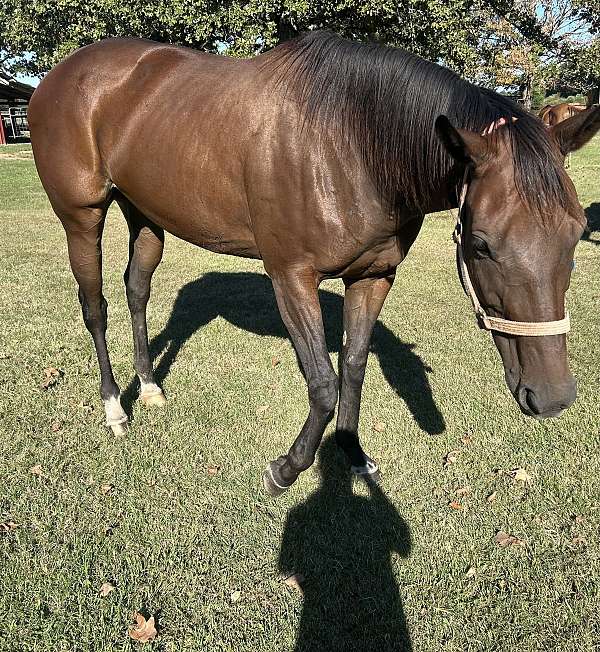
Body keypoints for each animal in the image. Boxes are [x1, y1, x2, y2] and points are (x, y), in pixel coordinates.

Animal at [27, 31, 600, 494]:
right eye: (480, 243)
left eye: (576, 234)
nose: (553, 397)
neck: (351, 140)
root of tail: (56, 77)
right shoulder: (291, 277)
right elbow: (322, 384)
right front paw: (285, 468)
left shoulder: (373, 277)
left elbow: (353, 367)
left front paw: (352, 452)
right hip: (81, 217)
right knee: (95, 306)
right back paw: (114, 408)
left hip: (144, 214)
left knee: (137, 290)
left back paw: (148, 387)